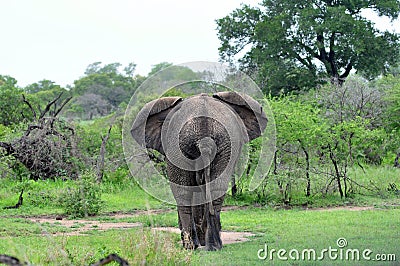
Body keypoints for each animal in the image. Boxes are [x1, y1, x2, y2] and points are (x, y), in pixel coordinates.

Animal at [131, 91, 268, 251]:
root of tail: (204, 138)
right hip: (207, 145)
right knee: (209, 190)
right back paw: (208, 246)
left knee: (186, 192)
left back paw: (194, 246)